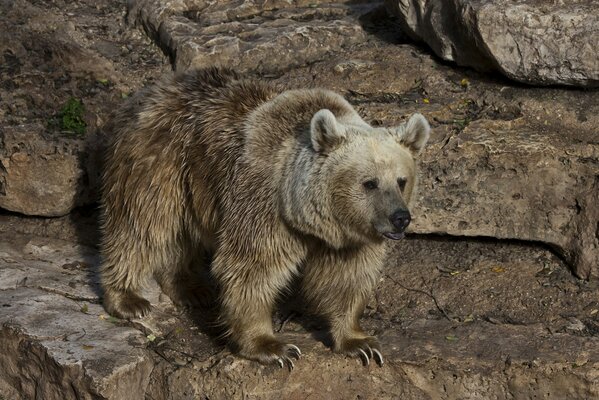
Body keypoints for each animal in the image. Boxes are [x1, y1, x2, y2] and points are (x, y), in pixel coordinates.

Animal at [99, 66, 432, 368]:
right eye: (370, 182)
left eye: (401, 180)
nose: (400, 218)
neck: (311, 218)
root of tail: (155, 88)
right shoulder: (263, 205)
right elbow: (251, 268)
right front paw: (273, 347)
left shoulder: (348, 240)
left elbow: (347, 278)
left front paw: (360, 342)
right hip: (160, 161)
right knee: (141, 225)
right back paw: (128, 298)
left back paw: (192, 288)